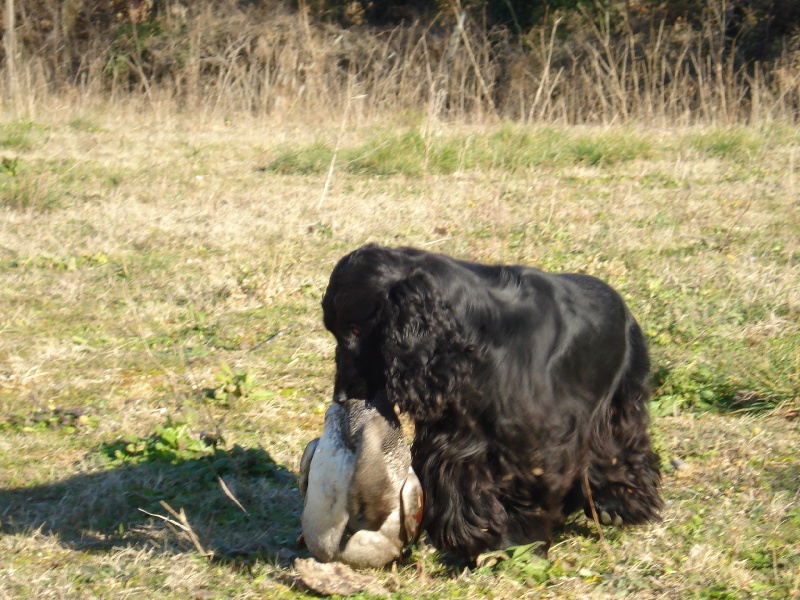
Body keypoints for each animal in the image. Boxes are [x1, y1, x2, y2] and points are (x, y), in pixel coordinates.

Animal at [322, 245, 660, 564]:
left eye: (357, 329)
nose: (342, 397)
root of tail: (622, 306)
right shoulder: (455, 437)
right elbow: (460, 486)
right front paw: (474, 540)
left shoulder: (535, 442)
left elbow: (529, 491)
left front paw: (520, 545)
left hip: (620, 399)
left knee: (620, 446)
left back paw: (619, 503)